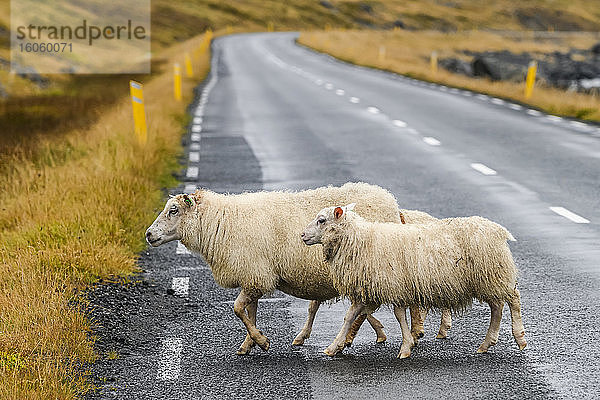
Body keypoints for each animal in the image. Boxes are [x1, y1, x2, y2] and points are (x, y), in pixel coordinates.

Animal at [144, 183, 436, 354]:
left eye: (173, 210)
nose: (148, 235)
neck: (220, 222)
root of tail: (392, 203)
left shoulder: (254, 274)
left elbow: (237, 309)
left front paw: (261, 341)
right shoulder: (254, 275)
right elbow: (250, 311)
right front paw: (250, 343)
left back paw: (405, 334)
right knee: (367, 307)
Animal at [302, 205, 528, 358]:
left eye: (321, 220)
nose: (302, 235)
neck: (361, 239)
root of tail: (498, 230)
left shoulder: (394, 285)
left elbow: (398, 315)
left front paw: (405, 347)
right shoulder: (371, 289)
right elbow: (351, 317)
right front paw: (334, 347)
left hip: (494, 274)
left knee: (514, 299)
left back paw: (520, 337)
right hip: (489, 279)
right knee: (497, 308)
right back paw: (486, 344)